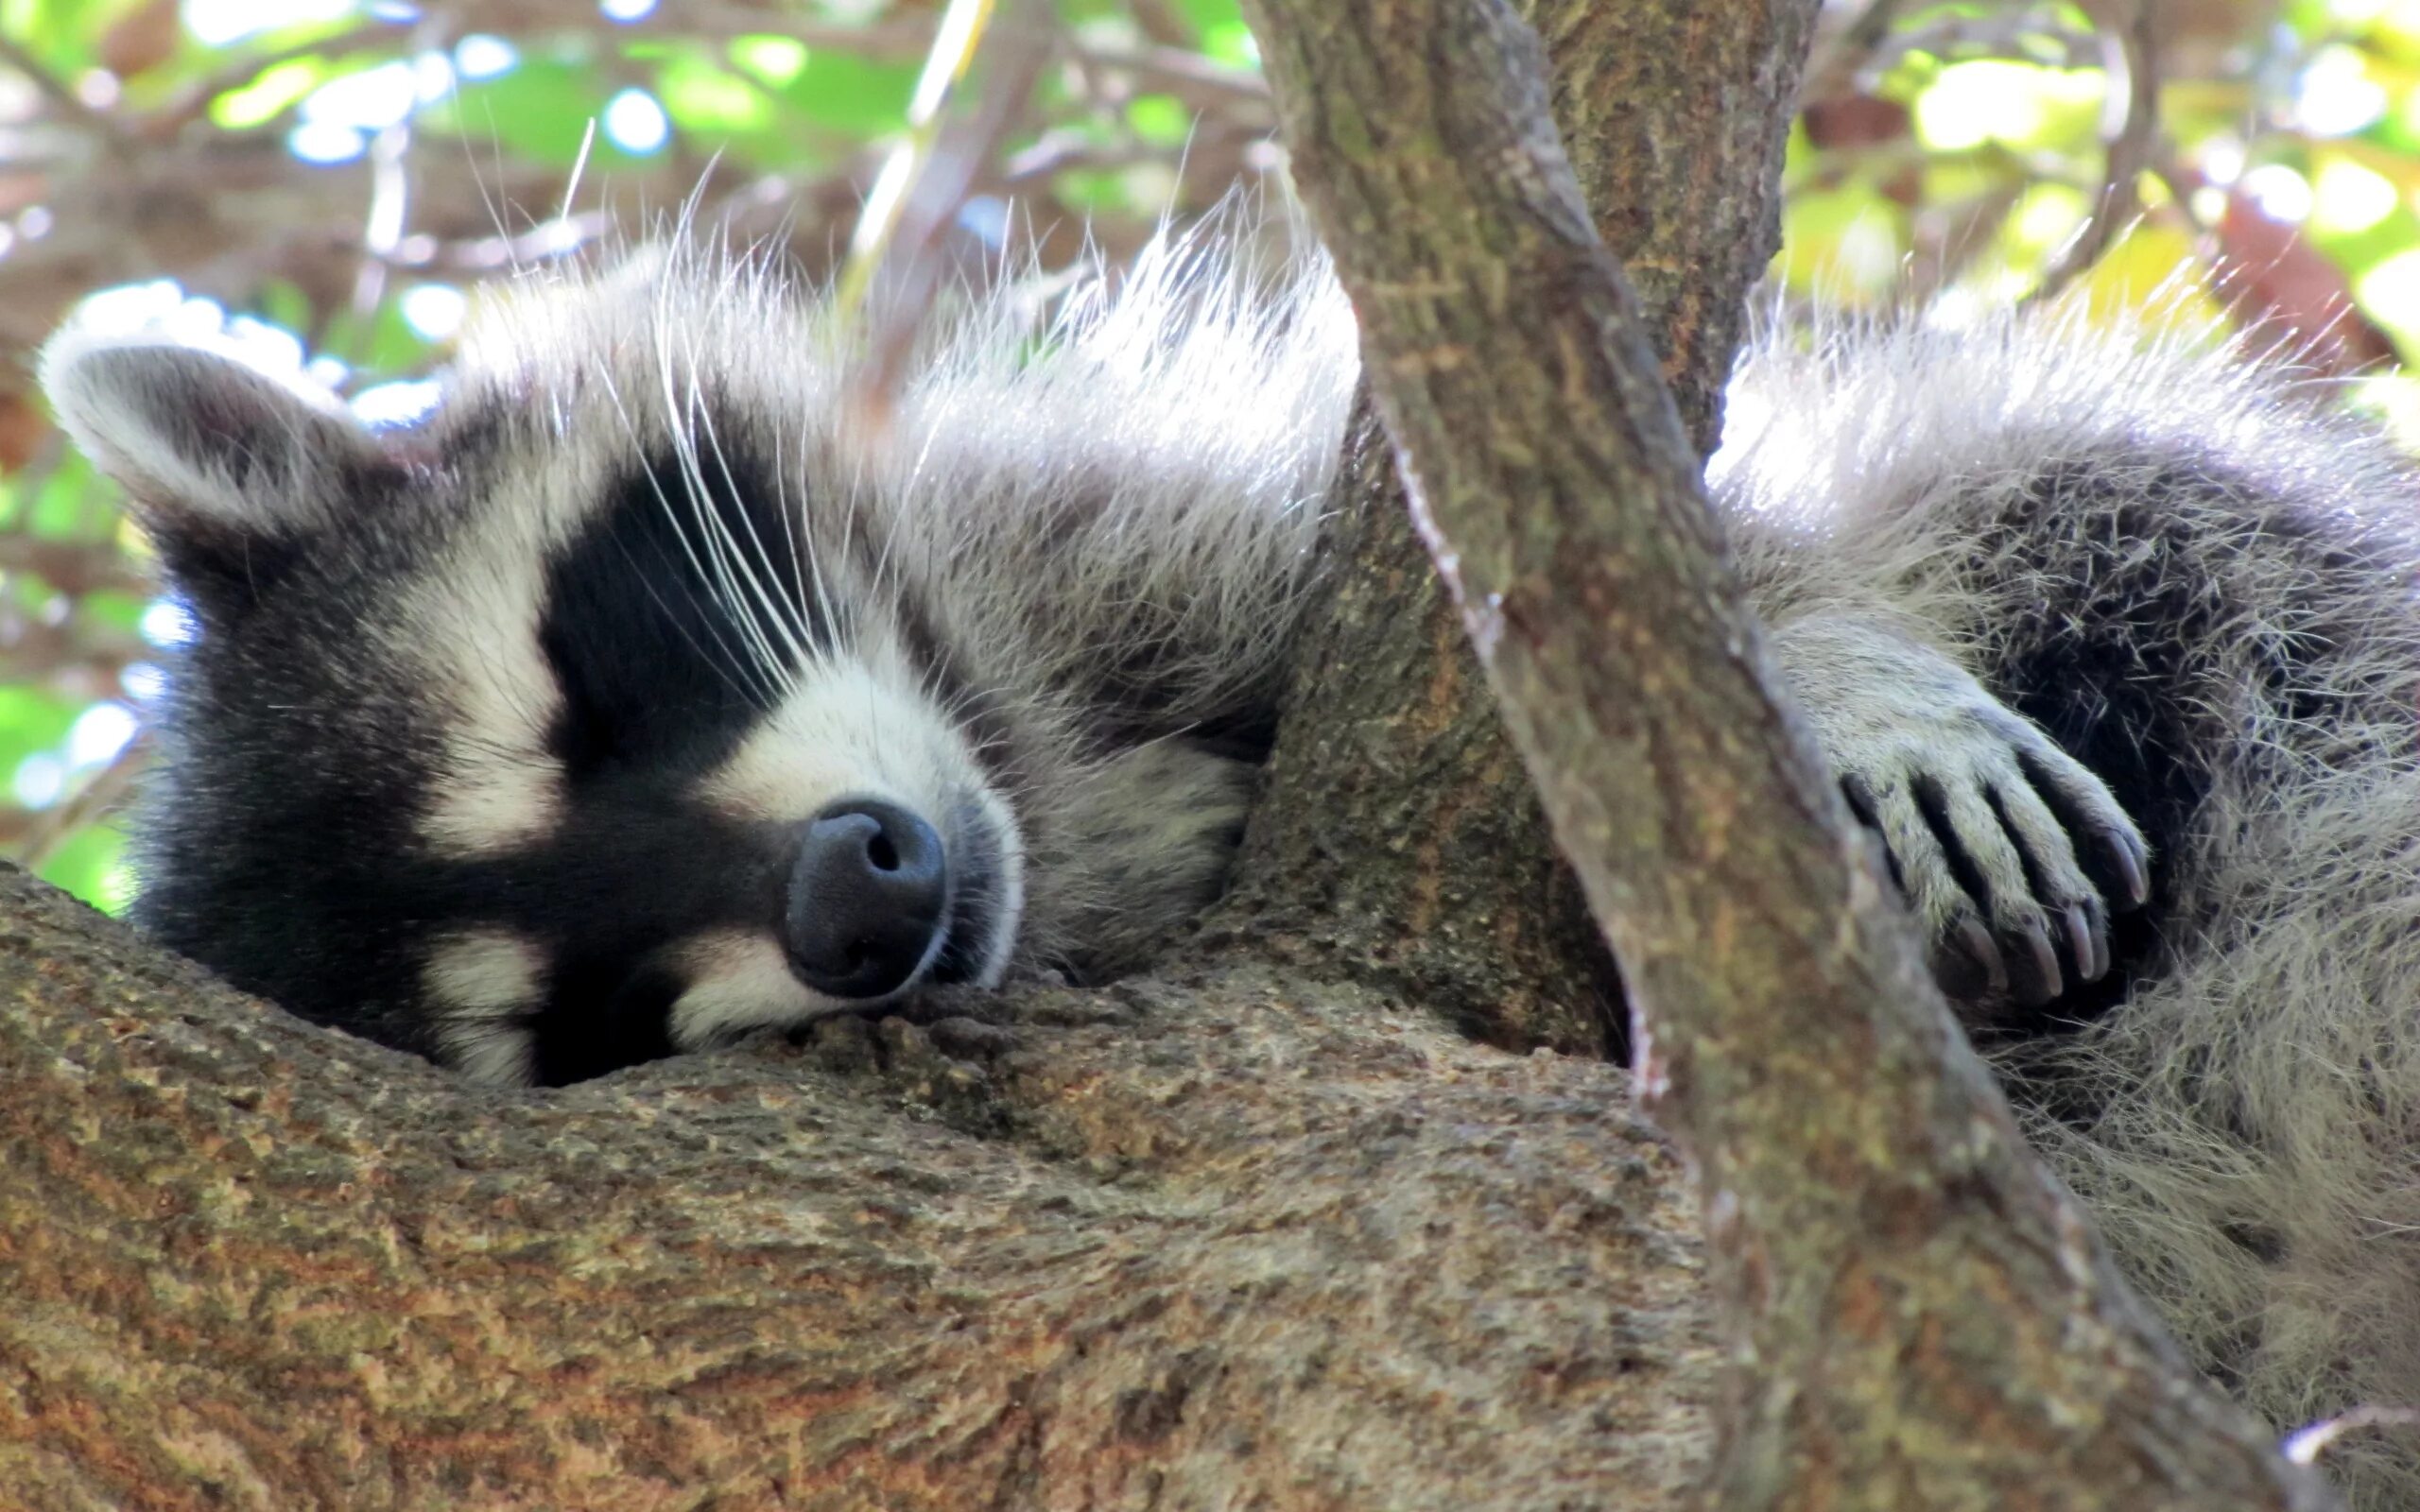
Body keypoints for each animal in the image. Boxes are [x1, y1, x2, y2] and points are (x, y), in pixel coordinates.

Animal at [38, 221, 2420, 1500]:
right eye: (579, 1023)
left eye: (574, 704)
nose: (856, 899)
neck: (1016, 762)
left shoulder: (1125, 526)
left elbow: (1668, 552)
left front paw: (1825, 663)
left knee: (2171, 545)